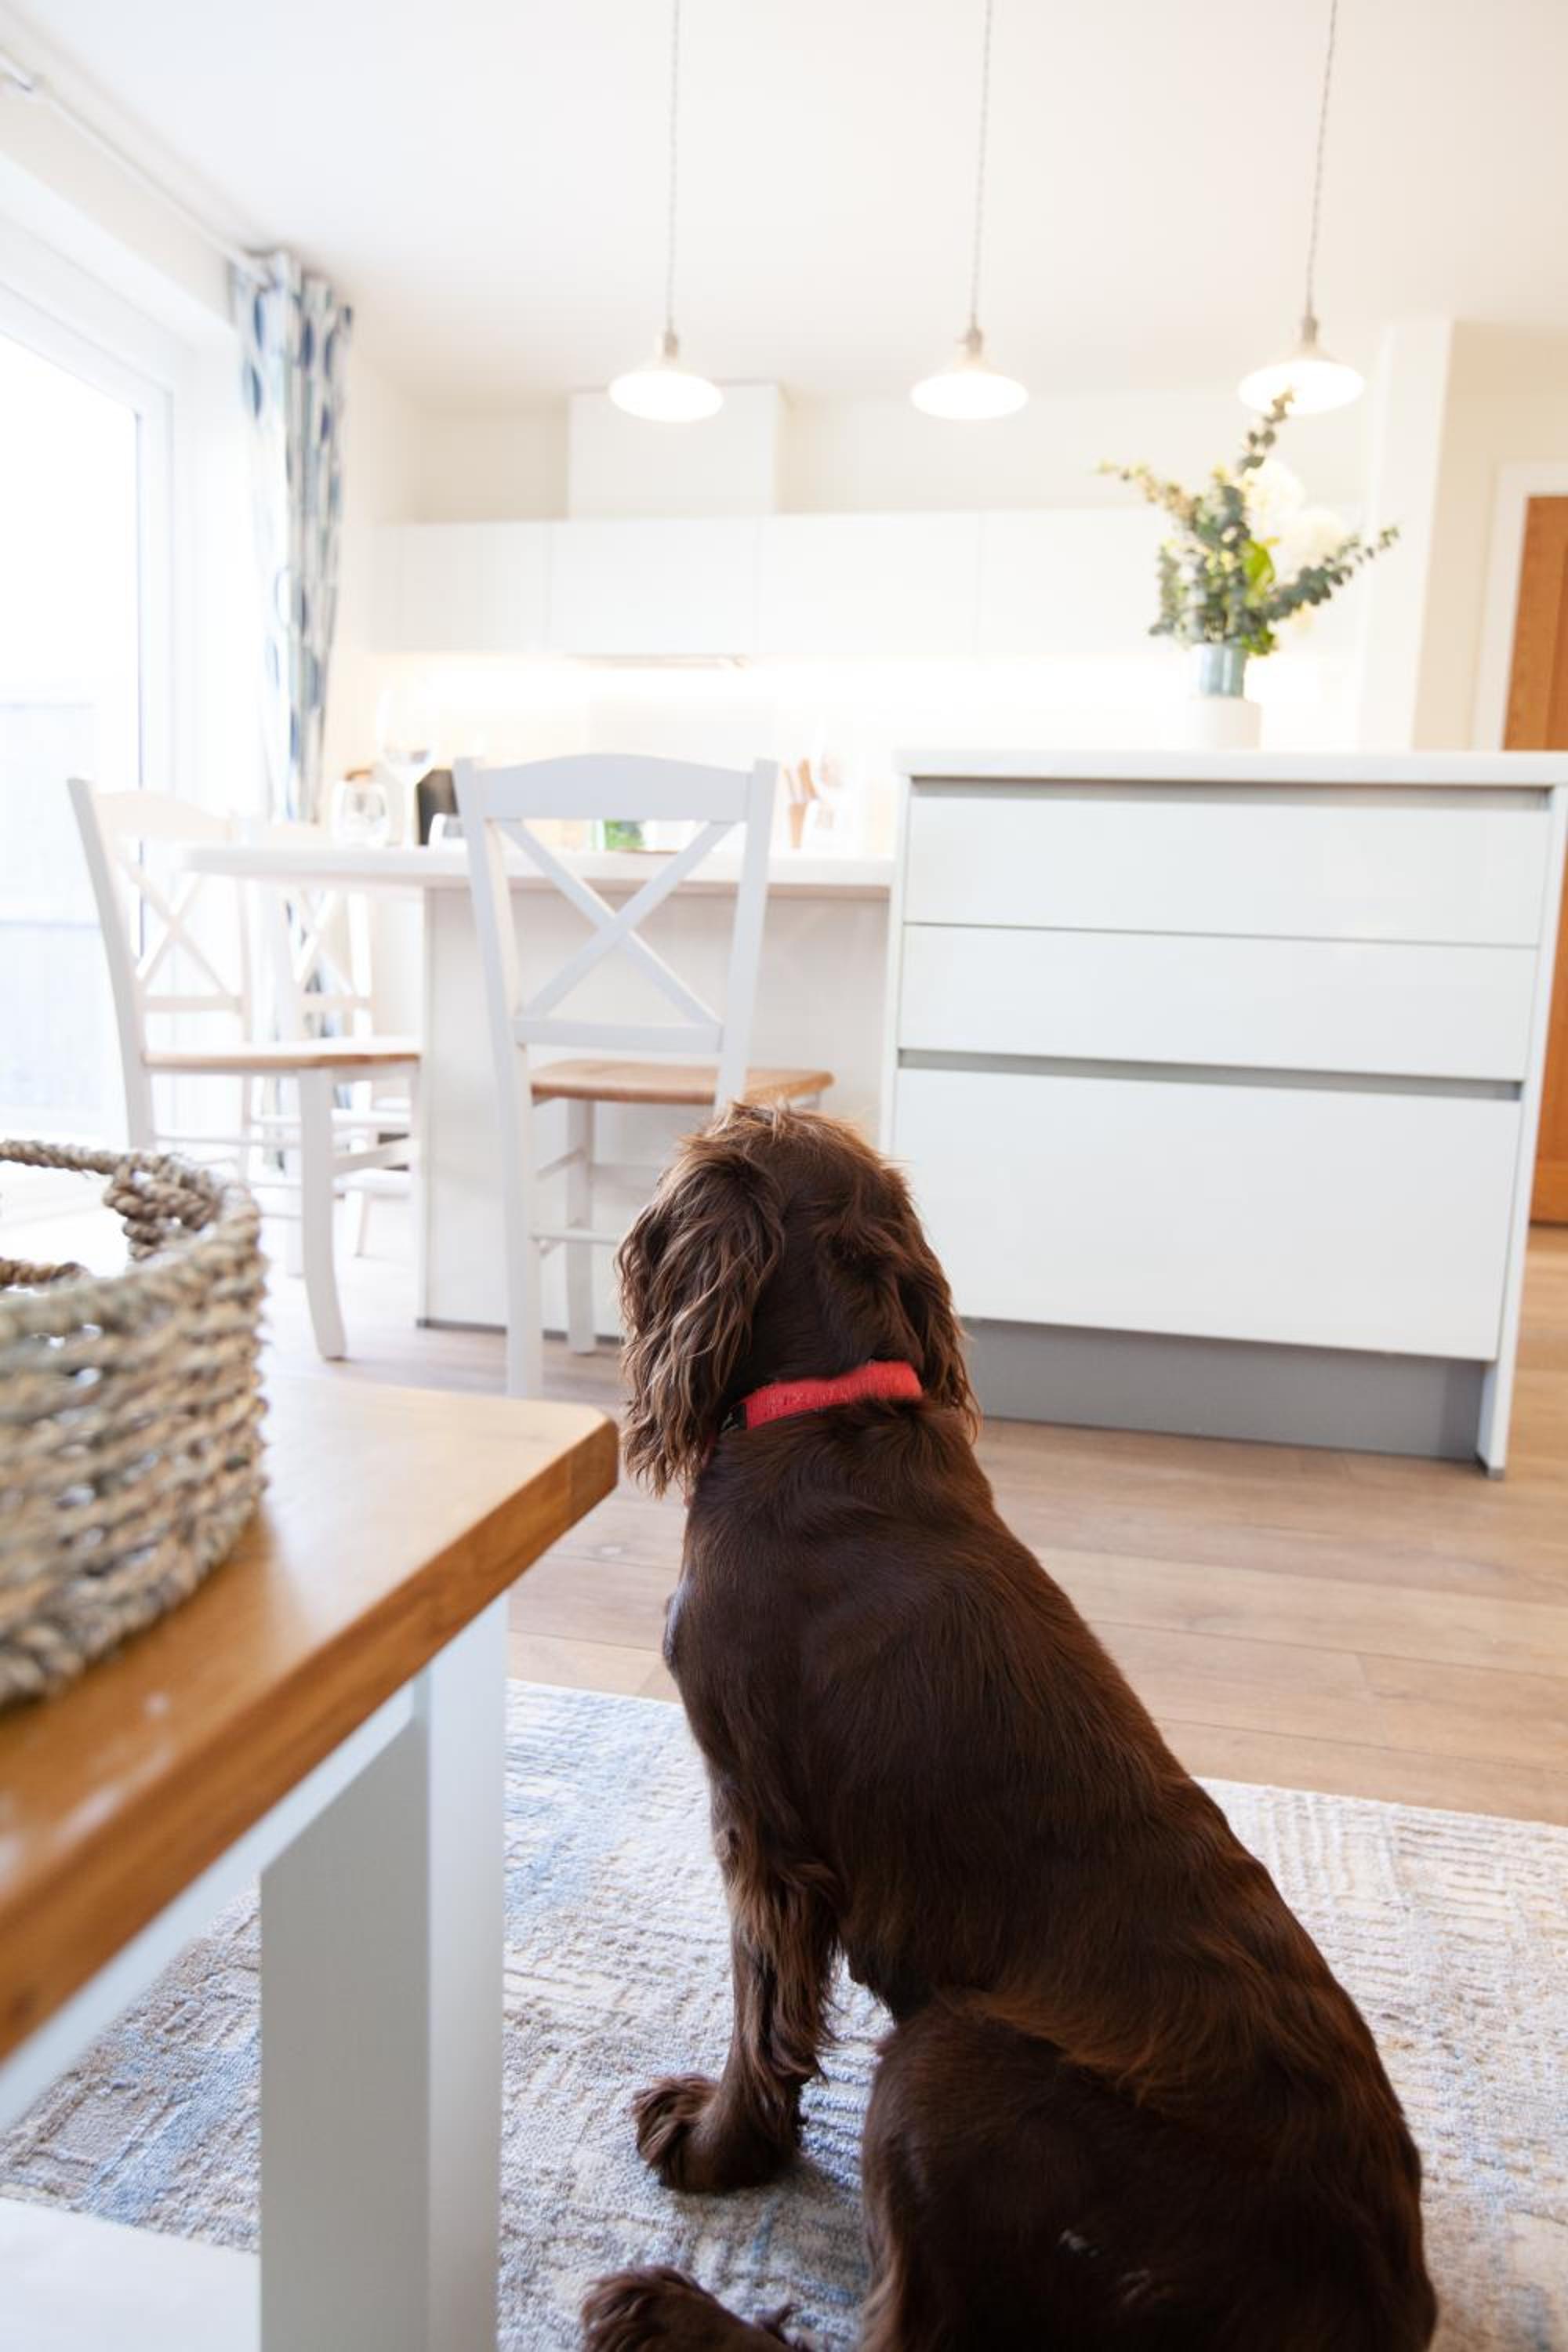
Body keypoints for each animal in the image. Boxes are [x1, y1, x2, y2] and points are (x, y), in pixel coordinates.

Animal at [581, 1104, 1437, 2351]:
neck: (831, 1413)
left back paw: (667, 2311)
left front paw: (713, 2149)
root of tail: (1372, 2295)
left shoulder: (761, 1829)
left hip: (943, 2067)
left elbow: (760, 2016)